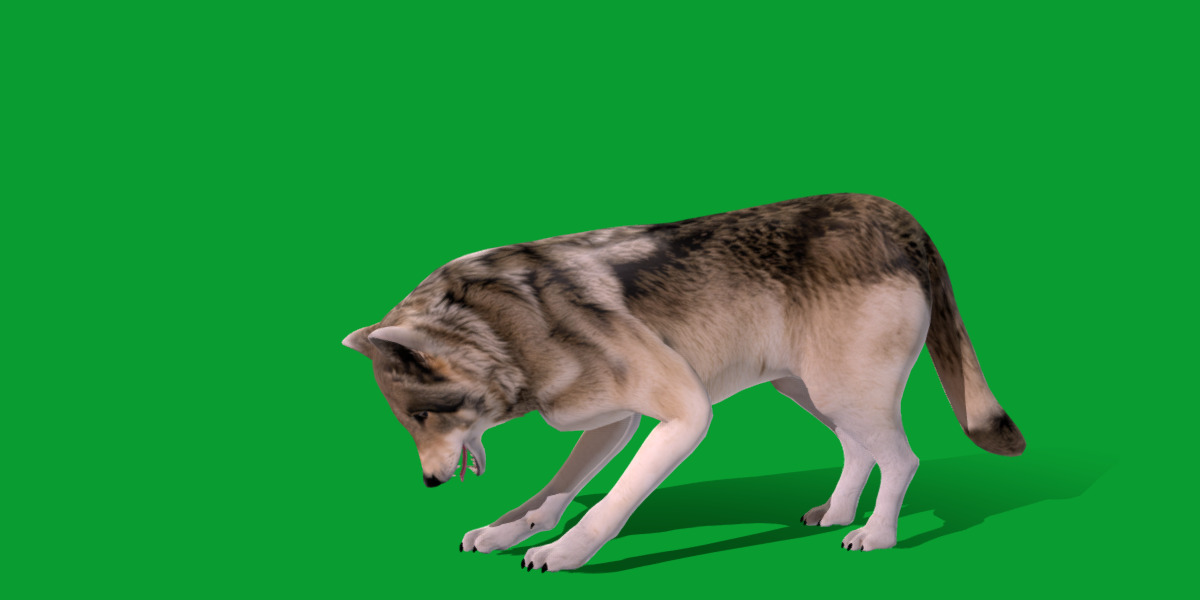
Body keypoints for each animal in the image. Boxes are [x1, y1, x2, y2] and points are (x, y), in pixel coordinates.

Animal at [342, 193, 1024, 572]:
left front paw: (566, 555)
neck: (505, 331)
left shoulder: (684, 412)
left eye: (425, 415)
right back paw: (835, 514)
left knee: (902, 459)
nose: (429, 483)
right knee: (860, 451)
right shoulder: (610, 424)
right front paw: (505, 532)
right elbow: (548, 498)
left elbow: (610, 505)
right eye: (408, 424)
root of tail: (889, 210)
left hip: (841, 392)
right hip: (813, 391)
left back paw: (876, 535)